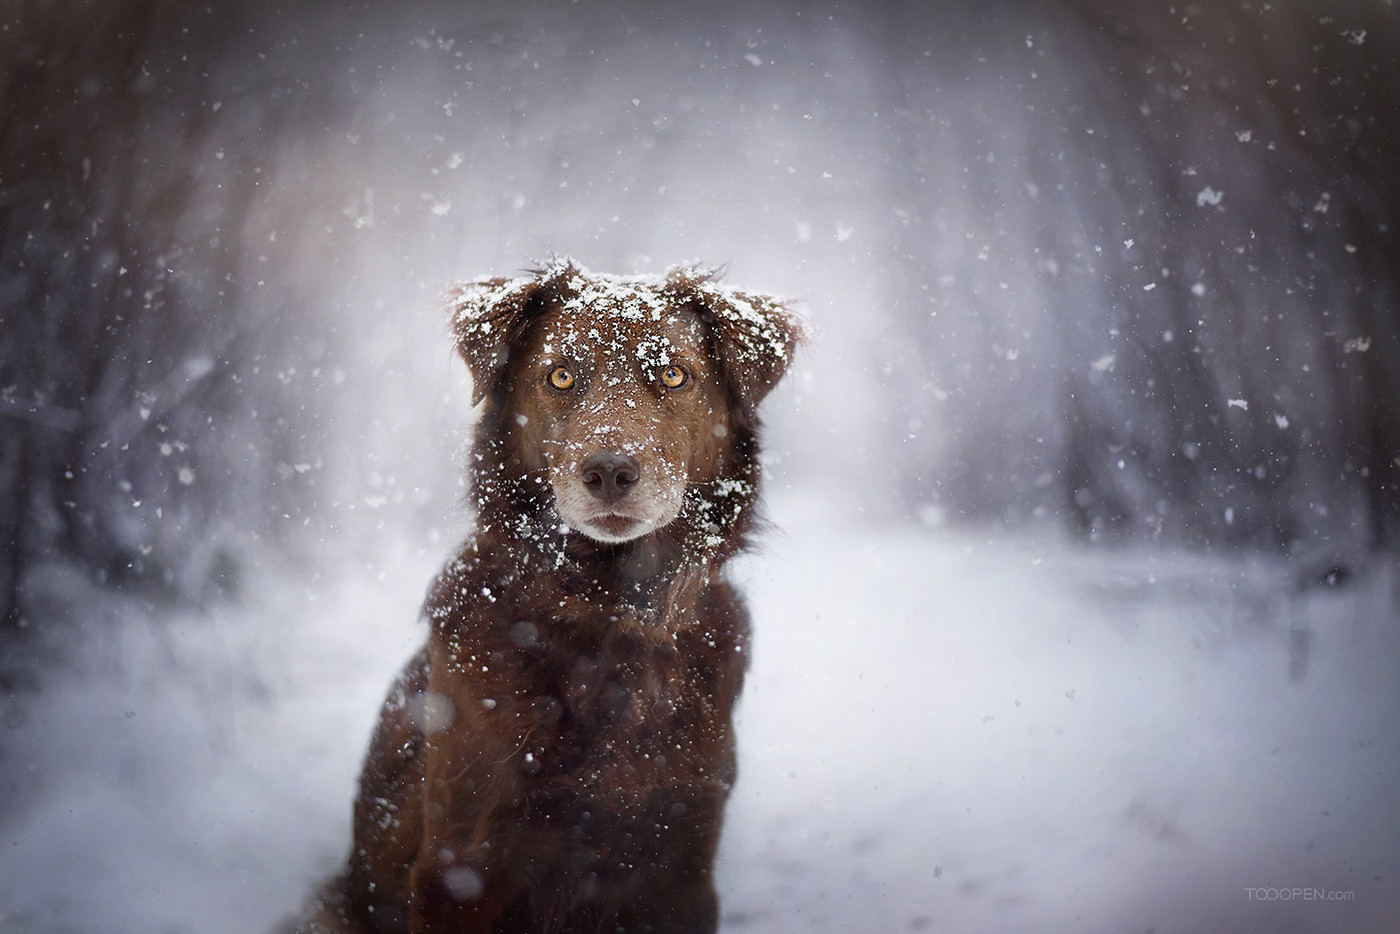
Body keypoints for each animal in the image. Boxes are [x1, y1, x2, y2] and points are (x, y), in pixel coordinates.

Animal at [295, 257, 800, 934]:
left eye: (673, 374)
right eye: (560, 375)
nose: (610, 471)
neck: (608, 620)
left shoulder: (683, 864)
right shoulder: (460, 868)